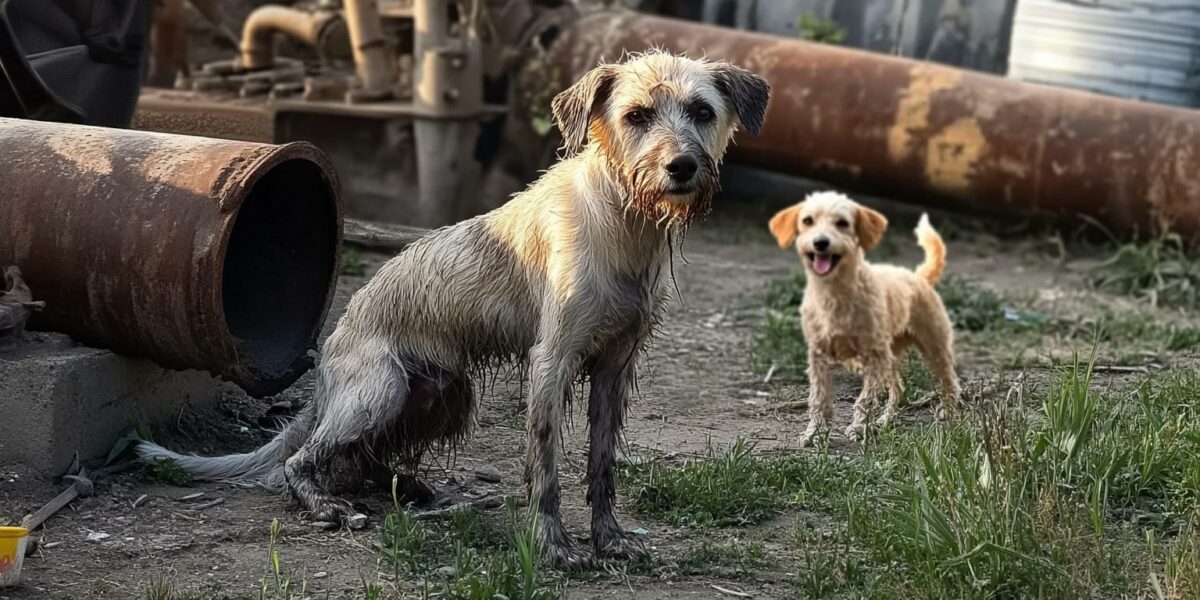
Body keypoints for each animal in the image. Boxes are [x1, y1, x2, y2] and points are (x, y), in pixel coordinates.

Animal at [138, 51, 768, 566]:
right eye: (637, 116)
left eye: (702, 111)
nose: (681, 167)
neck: (624, 219)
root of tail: (328, 369)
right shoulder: (552, 361)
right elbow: (545, 466)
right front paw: (555, 547)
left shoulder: (616, 366)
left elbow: (602, 463)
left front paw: (609, 538)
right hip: (381, 388)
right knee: (303, 461)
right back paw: (326, 506)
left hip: (446, 395)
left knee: (361, 458)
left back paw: (404, 486)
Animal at [768, 192, 964, 446]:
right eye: (808, 221)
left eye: (842, 223)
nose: (820, 242)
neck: (835, 295)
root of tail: (918, 276)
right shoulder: (819, 356)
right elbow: (819, 399)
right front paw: (814, 433)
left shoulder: (875, 357)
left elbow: (865, 399)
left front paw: (858, 428)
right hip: (891, 356)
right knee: (899, 388)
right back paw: (885, 421)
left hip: (934, 346)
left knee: (950, 382)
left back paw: (948, 416)